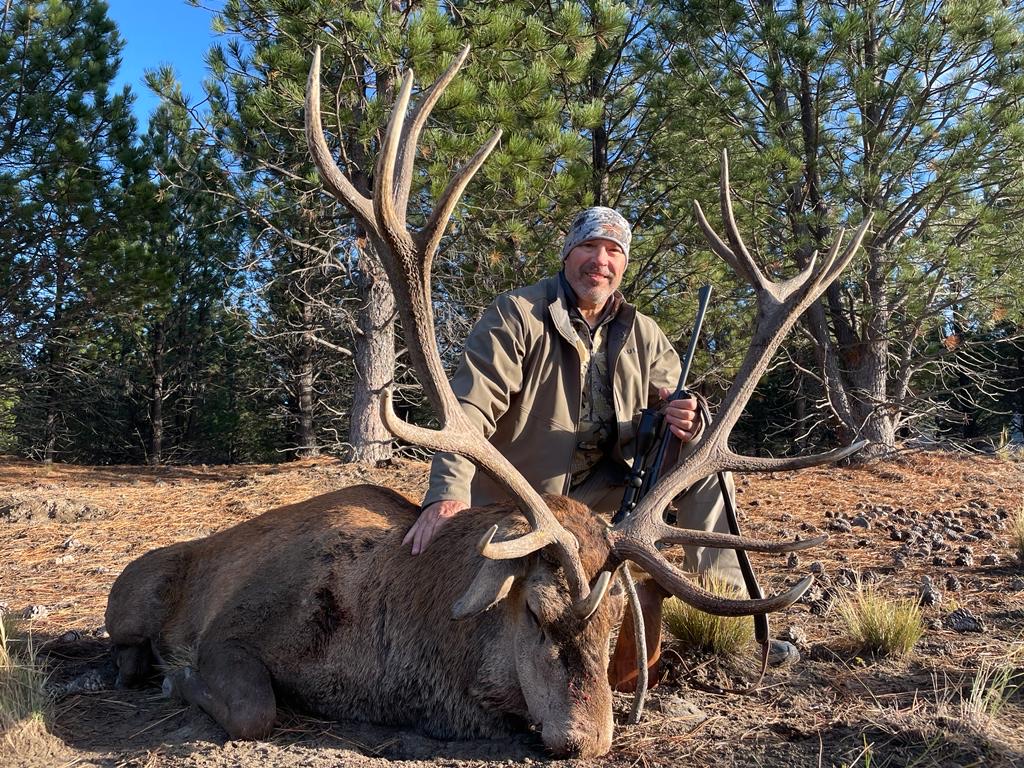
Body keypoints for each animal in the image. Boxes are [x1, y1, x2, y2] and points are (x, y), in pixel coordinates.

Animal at [103, 45, 871, 758]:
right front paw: (179, 678)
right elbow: (250, 708)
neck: (393, 665)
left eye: (615, 626)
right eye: (535, 612)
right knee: (125, 641)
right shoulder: (238, 626)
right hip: (131, 591)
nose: (586, 737)